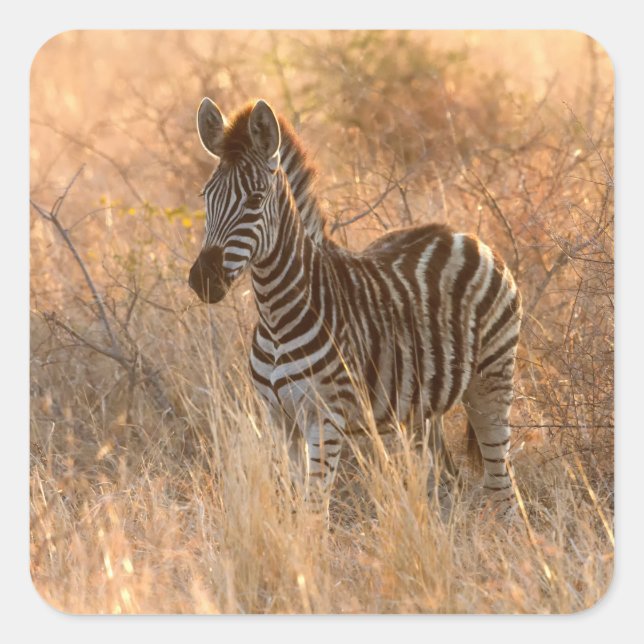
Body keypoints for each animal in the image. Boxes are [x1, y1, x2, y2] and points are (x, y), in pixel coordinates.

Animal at [189, 98, 522, 518]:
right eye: (205, 196)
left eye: (254, 200)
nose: (203, 280)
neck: (276, 315)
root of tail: (467, 235)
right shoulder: (279, 419)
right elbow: (293, 505)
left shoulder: (325, 420)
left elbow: (313, 512)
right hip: (421, 409)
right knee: (445, 481)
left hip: (491, 380)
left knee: (503, 488)